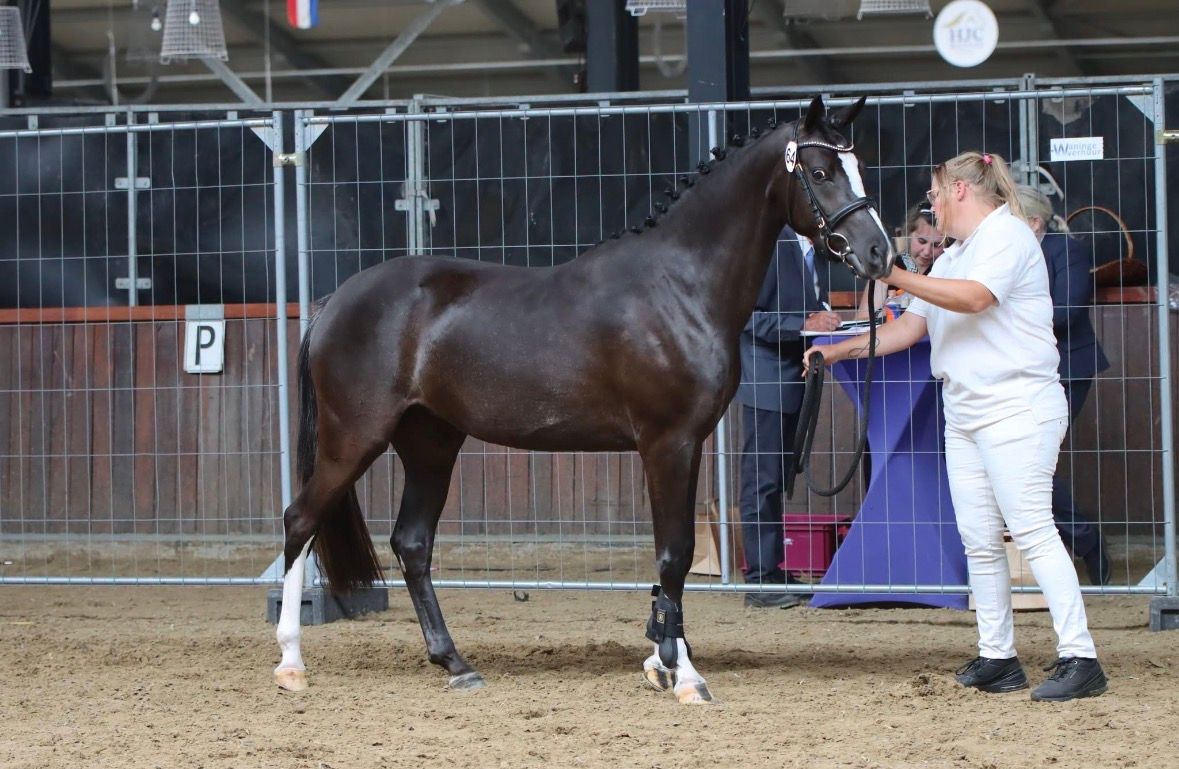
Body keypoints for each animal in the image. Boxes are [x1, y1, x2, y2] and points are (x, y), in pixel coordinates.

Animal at [274, 95, 893, 704]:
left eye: (859, 165)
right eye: (820, 171)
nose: (878, 254)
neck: (679, 286)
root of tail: (333, 302)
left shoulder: (686, 445)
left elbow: (672, 556)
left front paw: (660, 659)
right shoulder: (668, 443)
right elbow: (675, 554)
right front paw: (682, 674)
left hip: (431, 443)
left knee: (412, 543)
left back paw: (455, 663)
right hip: (354, 439)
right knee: (301, 520)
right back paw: (291, 663)